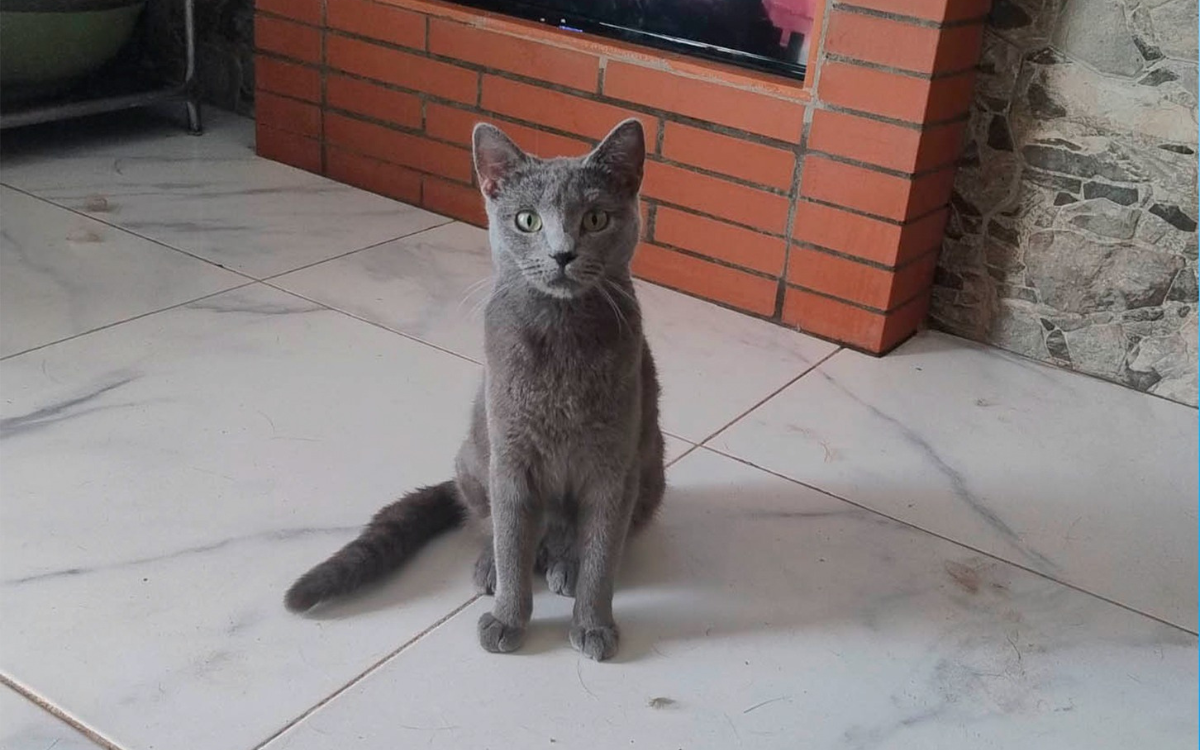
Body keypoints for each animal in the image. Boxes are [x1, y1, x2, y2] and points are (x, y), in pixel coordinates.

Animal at [286, 118, 672, 662]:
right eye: (527, 221)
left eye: (596, 219)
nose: (562, 253)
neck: (561, 336)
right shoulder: (509, 459)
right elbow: (511, 542)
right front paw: (507, 618)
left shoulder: (613, 468)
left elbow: (600, 558)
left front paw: (594, 626)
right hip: (473, 456)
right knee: (488, 524)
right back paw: (491, 567)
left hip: (651, 475)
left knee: (574, 541)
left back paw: (565, 567)